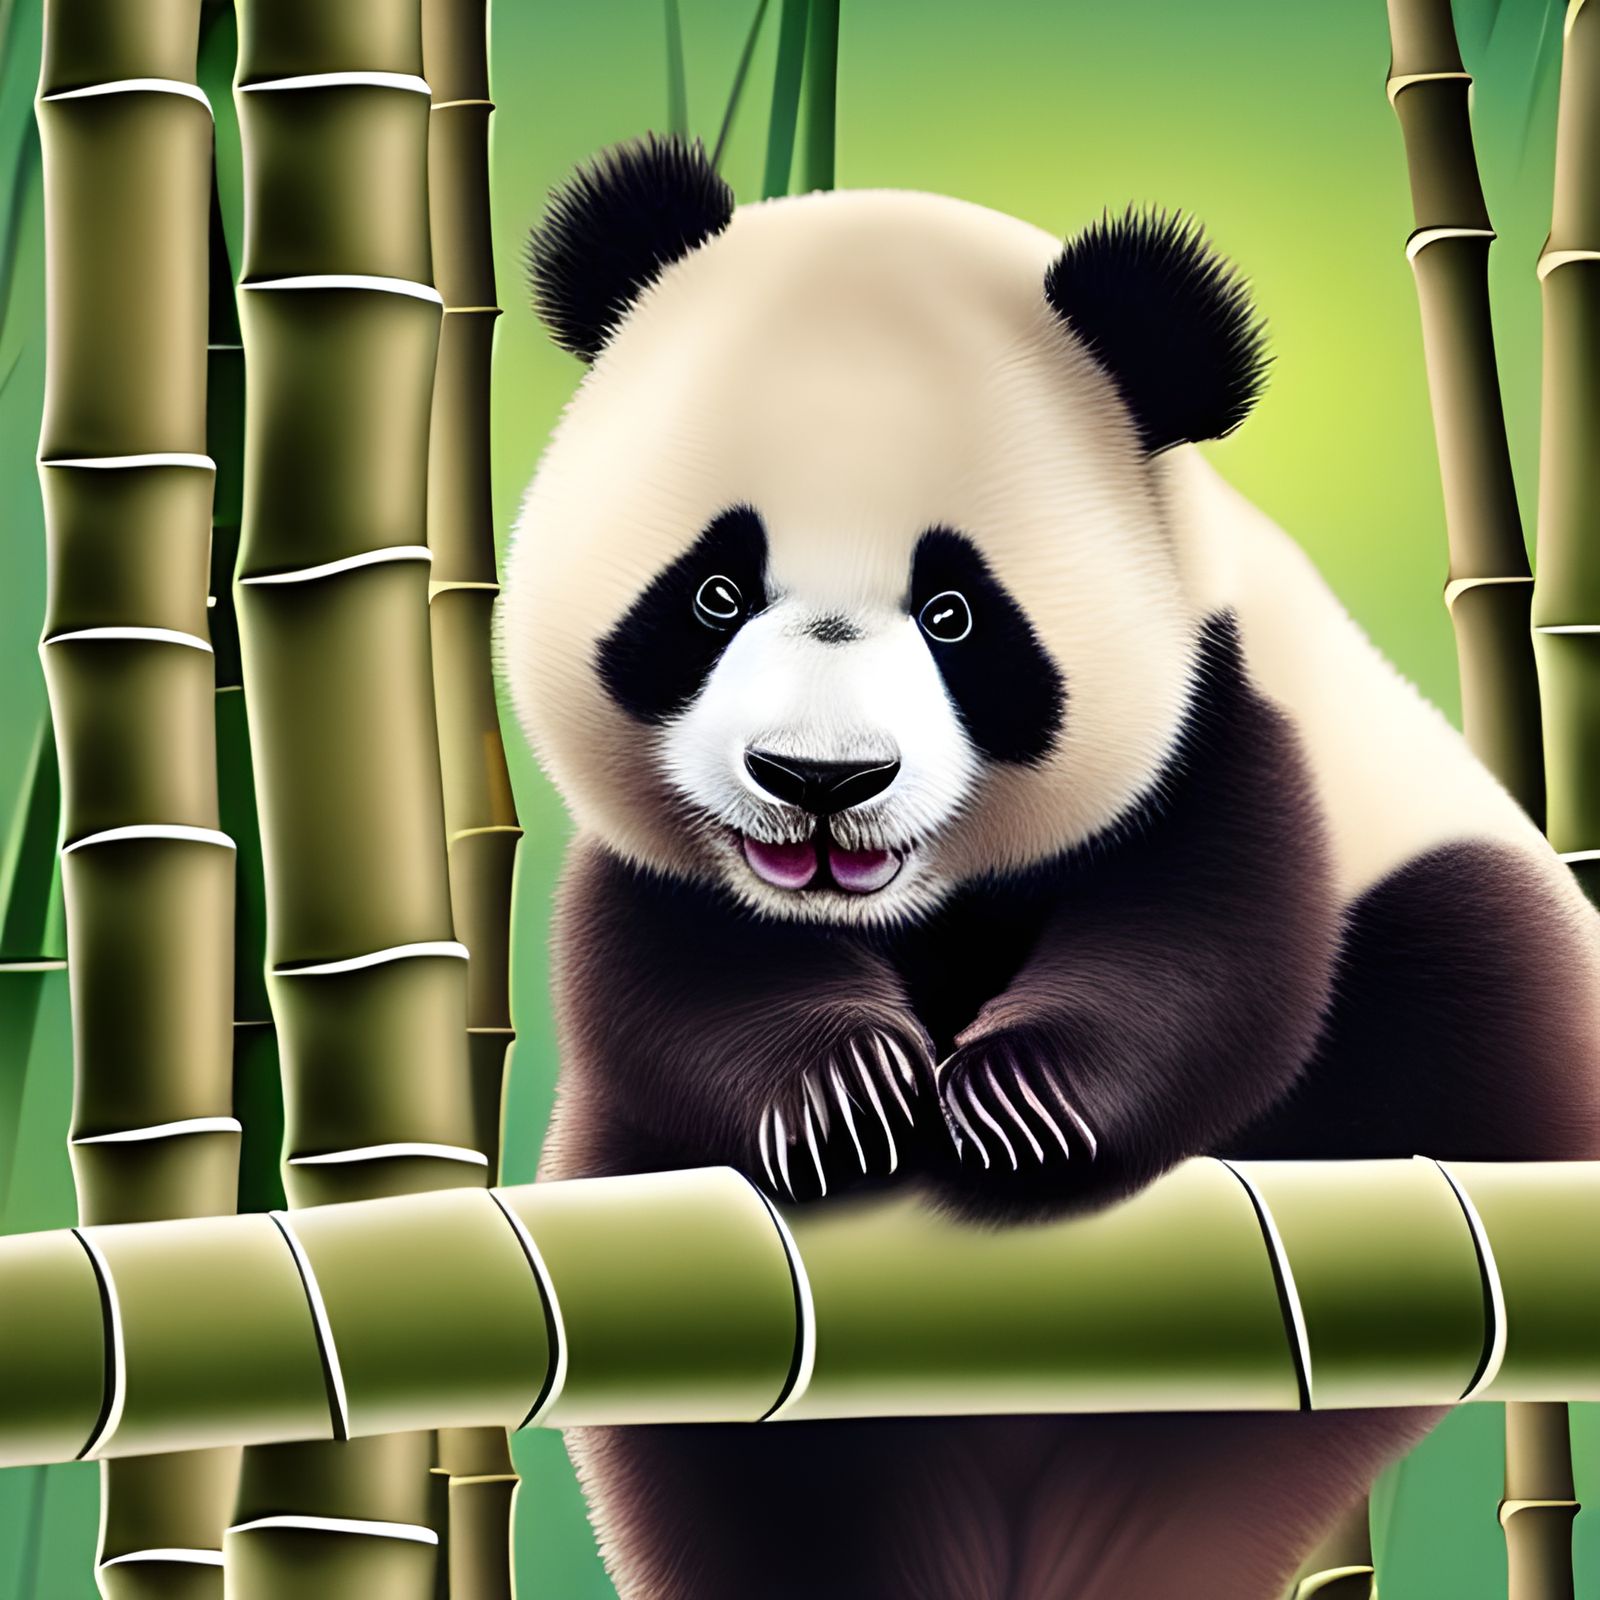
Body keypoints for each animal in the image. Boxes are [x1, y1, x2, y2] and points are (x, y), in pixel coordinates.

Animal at [502, 134, 1600, 1600]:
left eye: (956, 614)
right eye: (712, 593)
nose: (818, 781)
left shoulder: (1224, 715)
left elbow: (1208, 944)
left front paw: (1020, 1108)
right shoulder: (669, 868)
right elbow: (667, 973)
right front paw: (845, 1093)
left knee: (1458, 989)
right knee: (770, 1487)